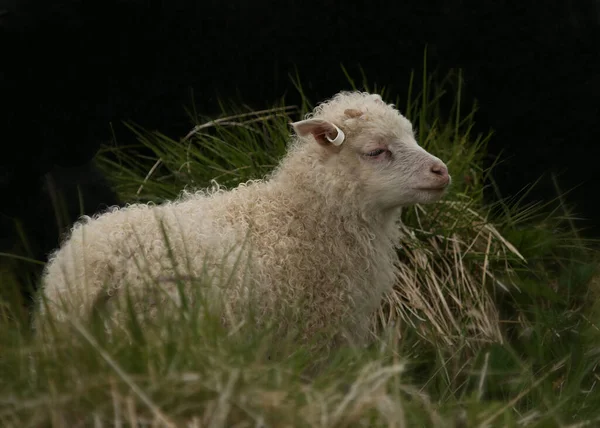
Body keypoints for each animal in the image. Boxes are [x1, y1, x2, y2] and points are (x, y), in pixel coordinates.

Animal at [35, 91, 450, 348]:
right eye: (376, 151)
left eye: (411, 135)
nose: (442, 172)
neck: (299, 219)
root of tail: (89, 267)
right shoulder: (315, 333)